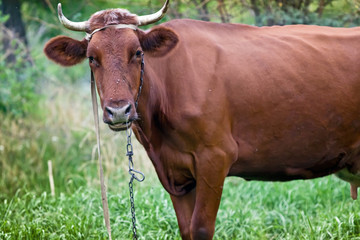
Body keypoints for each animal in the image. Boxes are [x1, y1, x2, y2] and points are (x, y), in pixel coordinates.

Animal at [44, 0, 360, 239]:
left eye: (137, 52)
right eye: (92, 58)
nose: (119, 110)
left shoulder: (215, 157)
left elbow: (201, 228)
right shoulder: (173, 170)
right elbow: (186, 229)